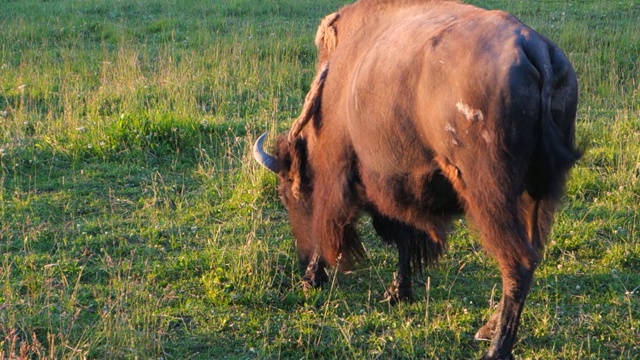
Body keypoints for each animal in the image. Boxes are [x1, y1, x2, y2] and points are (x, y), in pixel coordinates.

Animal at [255, 0, 580, 358]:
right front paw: (398, 292)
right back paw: (486, 330)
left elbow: (362, 226)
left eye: (290, 193)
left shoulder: (344, 174)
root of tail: (535, 48)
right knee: (532, 253)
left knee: (518, 261)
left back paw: (496, 348)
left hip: (491, 196)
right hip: (538, 194)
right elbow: (406, 236)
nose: (303, 266)